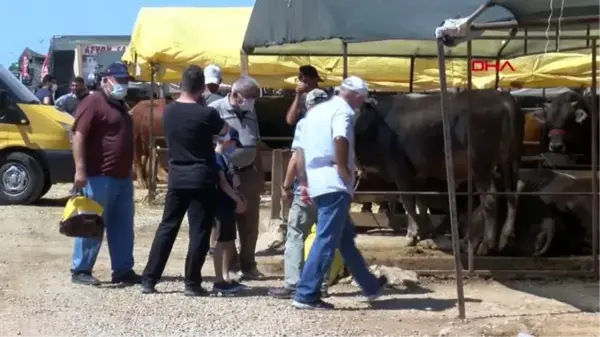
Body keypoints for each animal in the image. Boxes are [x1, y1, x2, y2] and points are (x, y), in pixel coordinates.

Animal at [356, 89, 524, 255]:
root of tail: (502, 96)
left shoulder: (400, 171)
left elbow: (409, 203)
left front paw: (411, 236)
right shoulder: (419, 176)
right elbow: (421, 204)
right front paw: (422, 232)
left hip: (481, 167)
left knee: (490, 201)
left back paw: (485, 245)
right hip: (508, 163)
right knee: (511, 195)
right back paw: (503, 239)